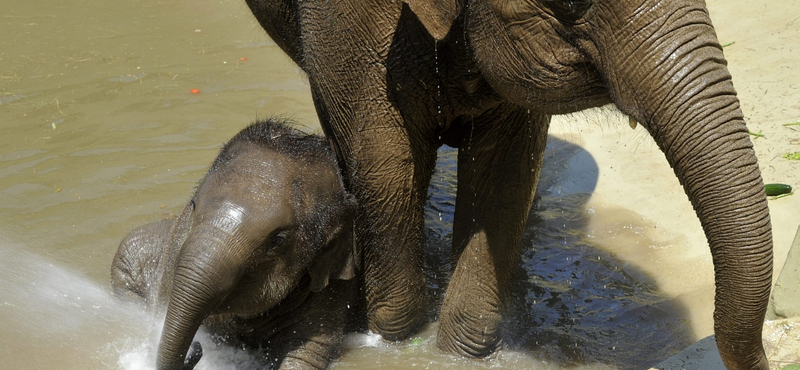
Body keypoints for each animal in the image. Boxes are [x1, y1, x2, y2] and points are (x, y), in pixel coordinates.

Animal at [245, 1, 776, 368]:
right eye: (571, 2)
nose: (766, 360)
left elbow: (504, 175)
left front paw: (457, 353)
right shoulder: (346, 30)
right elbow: (386, 168)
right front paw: (396, 343)